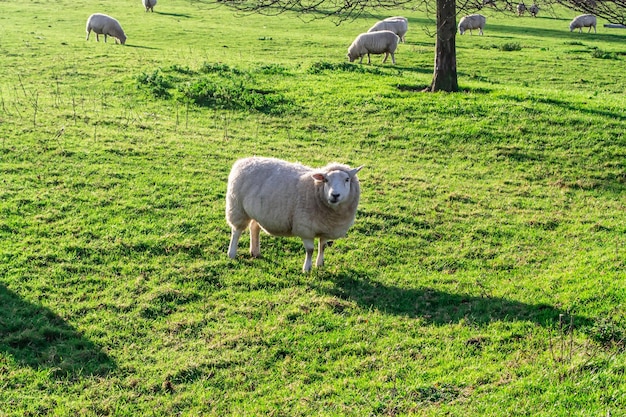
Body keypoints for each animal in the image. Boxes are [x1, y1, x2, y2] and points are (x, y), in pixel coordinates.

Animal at [225, 158, 364, 272]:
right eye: (326, 180)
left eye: (347, 179)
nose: (335, 195)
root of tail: (244, 161)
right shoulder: (306, 228)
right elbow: (310, 250)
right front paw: (306, 269)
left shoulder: (326, 229)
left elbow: (323, 246)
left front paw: (319, 264)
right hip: (237, 208)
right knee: (236, 231)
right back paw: (231, 253)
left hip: (257, 211)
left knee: (254, 227)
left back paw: (255, 252)